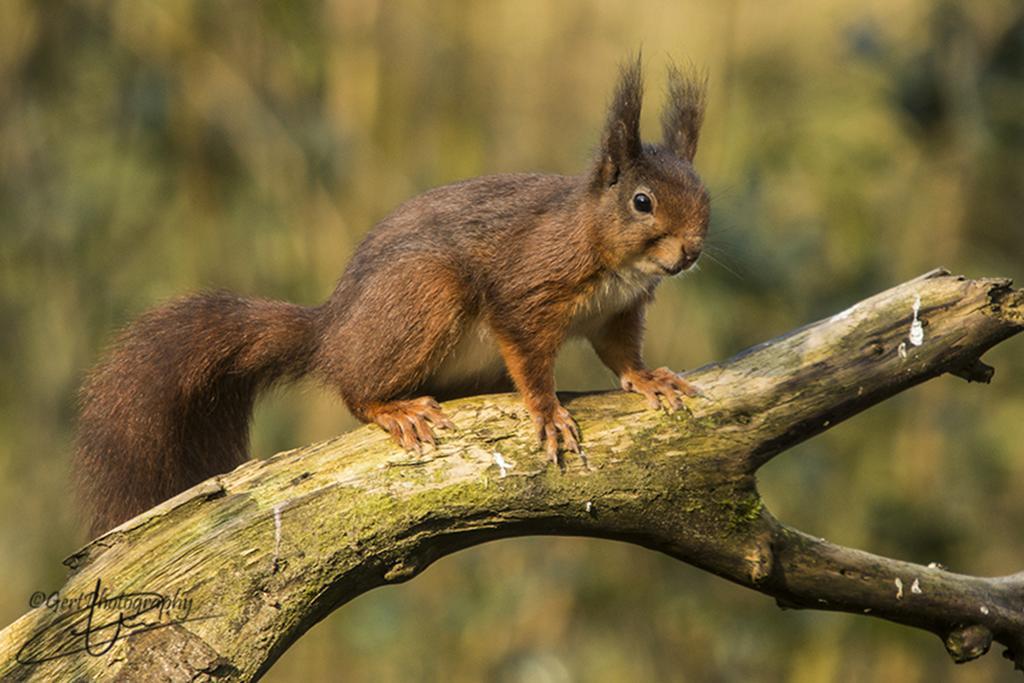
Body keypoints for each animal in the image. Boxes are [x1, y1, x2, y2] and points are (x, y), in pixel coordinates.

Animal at [74, 58, 712, 536]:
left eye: (703, 192)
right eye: (642, 202)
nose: (691, 251)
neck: (609, 258)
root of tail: (331, 332)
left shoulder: (619, 312)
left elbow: (621, 354)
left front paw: (650, 380)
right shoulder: (527, 288)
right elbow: (530, 357)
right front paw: (549, 412)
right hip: (426, 292)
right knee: (353, 388)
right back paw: (393, 408)